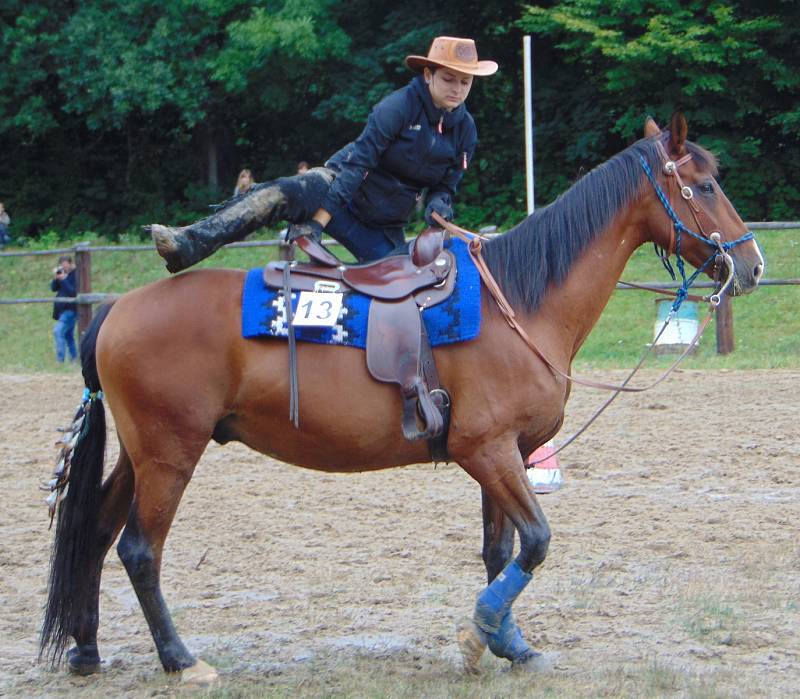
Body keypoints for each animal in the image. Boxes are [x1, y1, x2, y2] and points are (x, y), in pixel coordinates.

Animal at [39, 116, 764, 684]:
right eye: (703, 186)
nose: (752, 264)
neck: (520, 303)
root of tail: (115, 309)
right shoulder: (486, 450)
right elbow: (536, 542)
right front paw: (479, 634)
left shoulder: (502, 455)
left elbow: (500, 551)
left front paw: (507, 641)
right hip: (170, 453)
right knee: (139, 549)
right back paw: (181, 659)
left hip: (140, 454)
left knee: (96, 531)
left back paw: (86, 649)